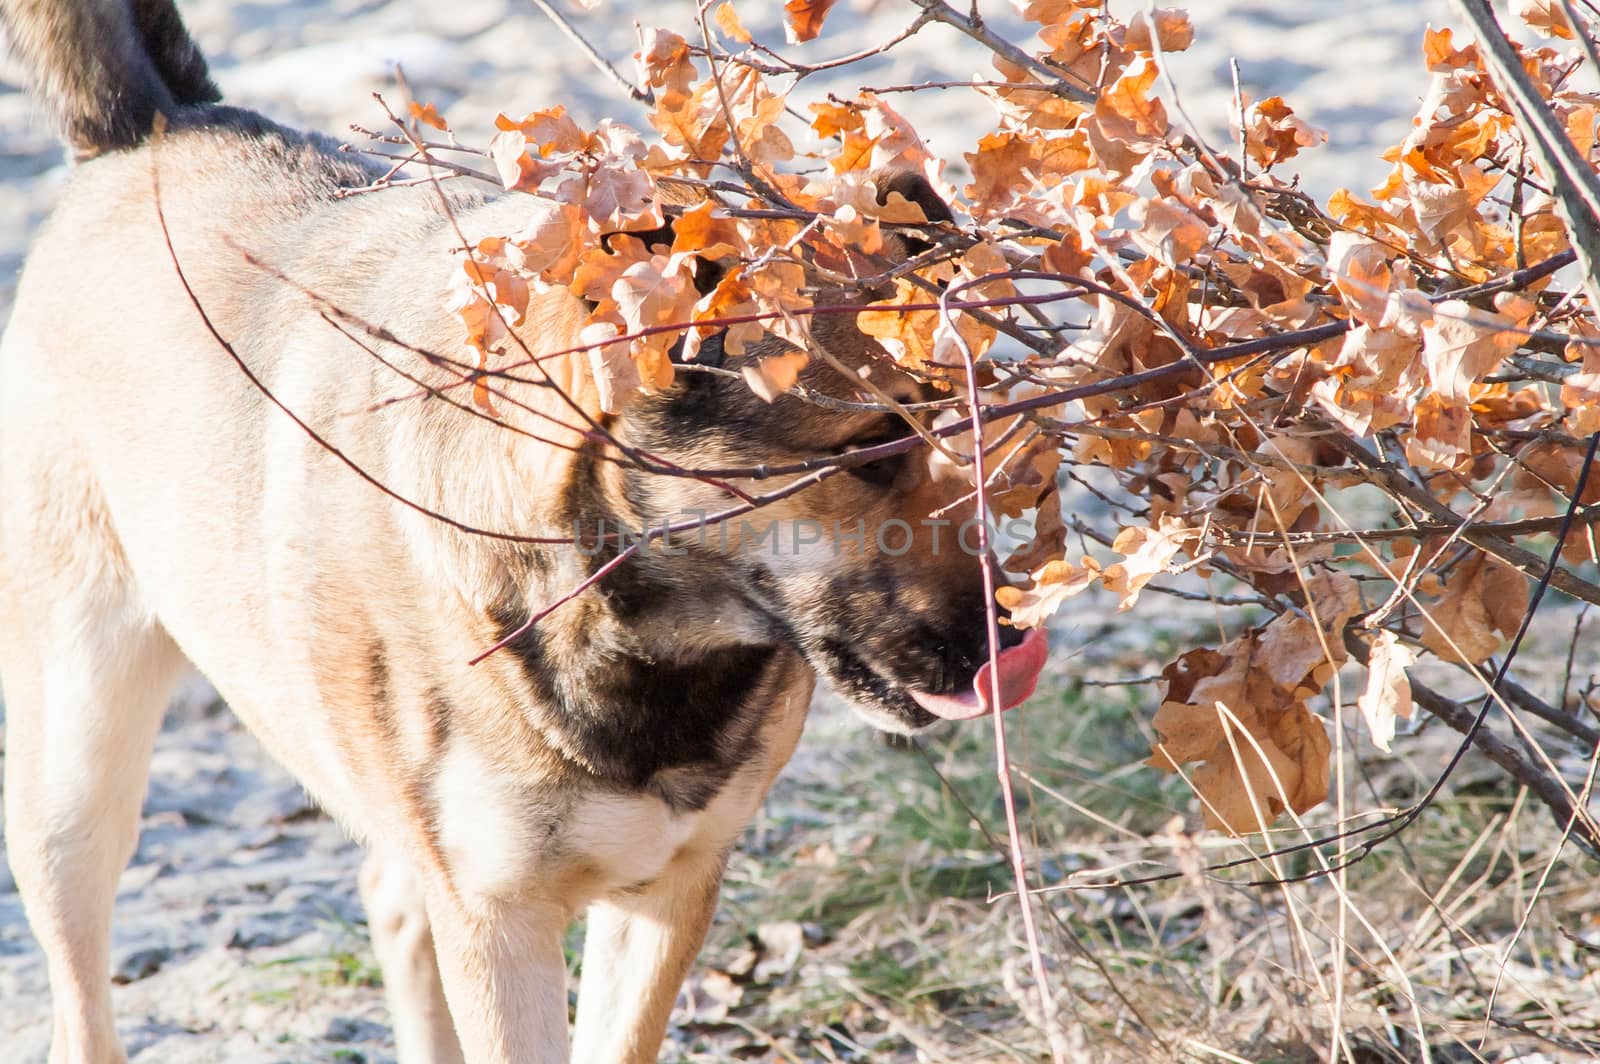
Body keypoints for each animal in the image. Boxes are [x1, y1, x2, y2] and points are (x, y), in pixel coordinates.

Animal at [0, 4, 1049, 1056]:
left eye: (975, 430)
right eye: (871, 449)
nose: (1012, 646)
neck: (630, 628)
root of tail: (156, 124)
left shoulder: (667, 892)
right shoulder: (499, 925)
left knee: (389, 894)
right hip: (73, 782)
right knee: (82, 991)